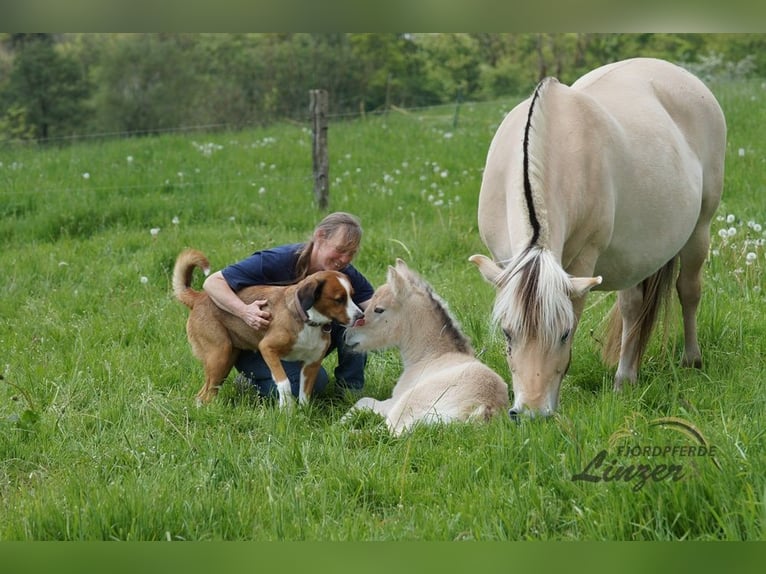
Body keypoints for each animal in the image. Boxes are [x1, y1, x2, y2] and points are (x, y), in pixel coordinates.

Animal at [175, 251, 366, 410]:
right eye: (339, 299)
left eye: (352, 295)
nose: (361, 316)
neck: (309, 321)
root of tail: (199, 297)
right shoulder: (267, 348)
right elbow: (284, 382)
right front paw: (286, 408)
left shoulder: (311, 363)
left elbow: (305, 393)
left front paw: (302, 413)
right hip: (219, 355)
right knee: (203, 395)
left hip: (225, 360)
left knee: (207, 392)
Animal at [344, 260, 510, 436]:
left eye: (379, 309)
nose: (347, 335)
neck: (431, 356)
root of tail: (484, 408)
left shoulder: (393, 401)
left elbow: (364, 401)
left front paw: (342, 421)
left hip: (405, 406)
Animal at [472, 58, 728, 418]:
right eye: (508, 333)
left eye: (564, 334)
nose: (532, 413)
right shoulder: (504, 262)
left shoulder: (581, 263)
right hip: (637, 253)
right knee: (634, 306)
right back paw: (628, 376)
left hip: (699, 230)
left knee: (688, 291)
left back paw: (687, 361)